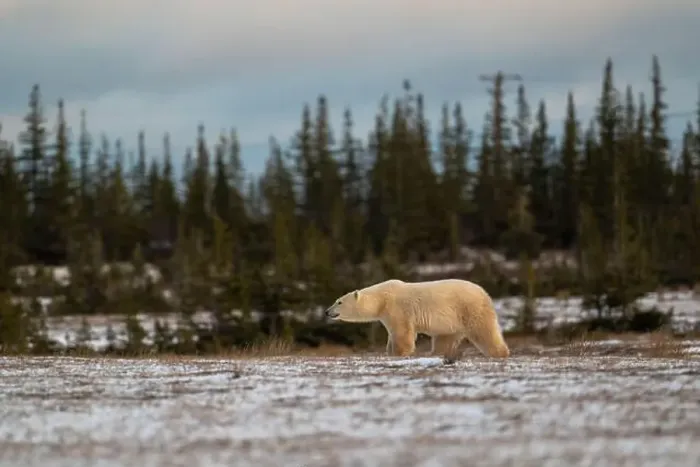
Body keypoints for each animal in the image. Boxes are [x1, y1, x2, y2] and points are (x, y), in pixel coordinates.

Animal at [324, 278, 510, 360]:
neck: (381, 299)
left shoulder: (396, 309)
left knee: (484, 331)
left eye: (339, 301)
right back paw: (435, 353)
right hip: (452, 321)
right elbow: (392, 334)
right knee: (445, 338)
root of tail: (484, 293)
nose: (327, 311)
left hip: (469, 308)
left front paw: (400, 353)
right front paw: (390, 351)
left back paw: (500, 353)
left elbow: (402, 331)